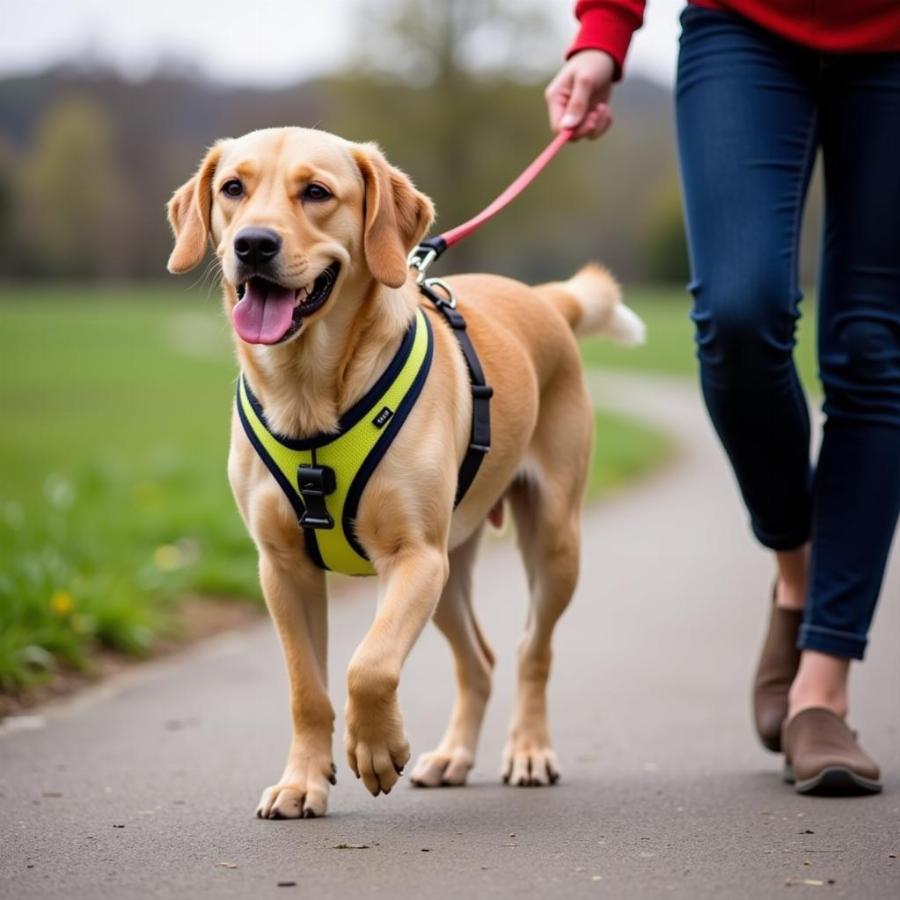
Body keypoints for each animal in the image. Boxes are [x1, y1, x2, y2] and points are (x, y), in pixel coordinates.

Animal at [167, 123, 648, 820]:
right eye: (233, 188)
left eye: (317, 193)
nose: (252, 244)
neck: (308, 396)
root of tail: (542, 299)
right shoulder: (282, 568)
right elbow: (307, 689)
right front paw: (302, 782)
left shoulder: (414, 556)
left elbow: (368, 665)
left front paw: (376, 749)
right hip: (451, 570)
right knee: (480, 661)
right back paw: (453, 756)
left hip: (550, 540)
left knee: (532, 649)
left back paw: (529, 751)